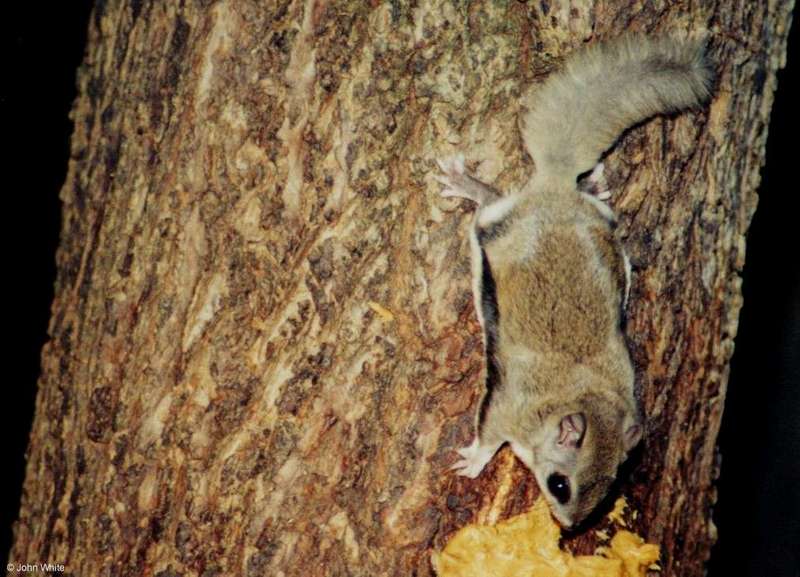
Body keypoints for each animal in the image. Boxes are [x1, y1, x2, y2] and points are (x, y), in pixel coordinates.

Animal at [438, 33, 712, 528]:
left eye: (608, 486)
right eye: (559, 485)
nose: (569, 527)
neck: (576, 396)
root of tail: (556, 191)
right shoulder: (506, 409)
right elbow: (488, 437)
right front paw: (472, 460)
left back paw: (591, 186)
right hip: (498, 224)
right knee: (489, 201)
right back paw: (467, 184)